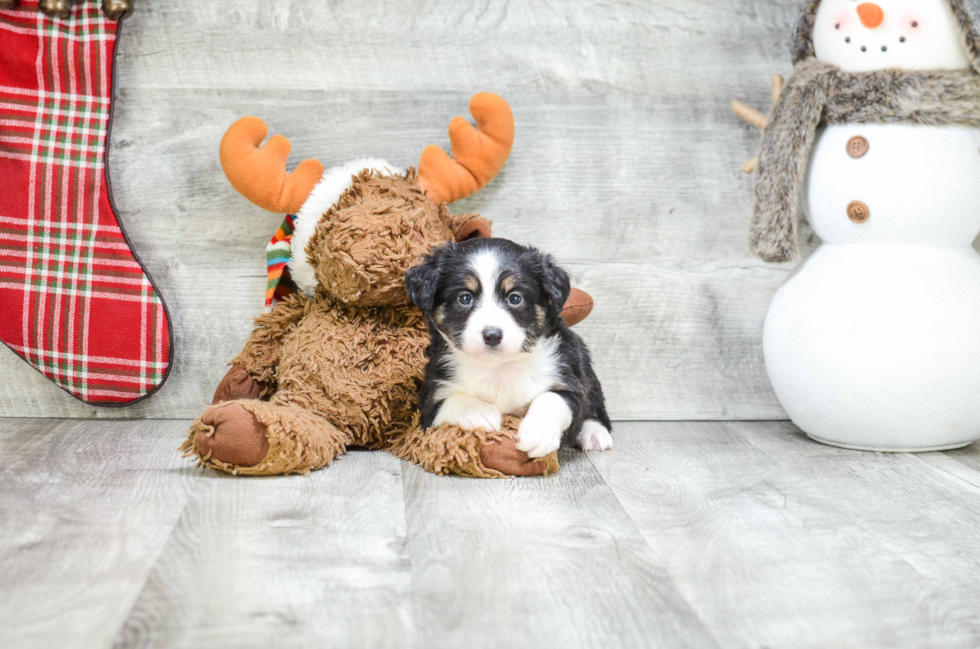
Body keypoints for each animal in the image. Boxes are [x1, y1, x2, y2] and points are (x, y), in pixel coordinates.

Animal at [402, 237, 608, 456]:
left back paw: (594, 433)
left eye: (515, 298)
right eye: (465, 298)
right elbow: (452, 402)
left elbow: (553, 399)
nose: (492, 335)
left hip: (581, 360)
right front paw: (480, 413)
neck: (498, 368)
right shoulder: (430, 399)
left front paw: (538, 433)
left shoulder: (569, 380)